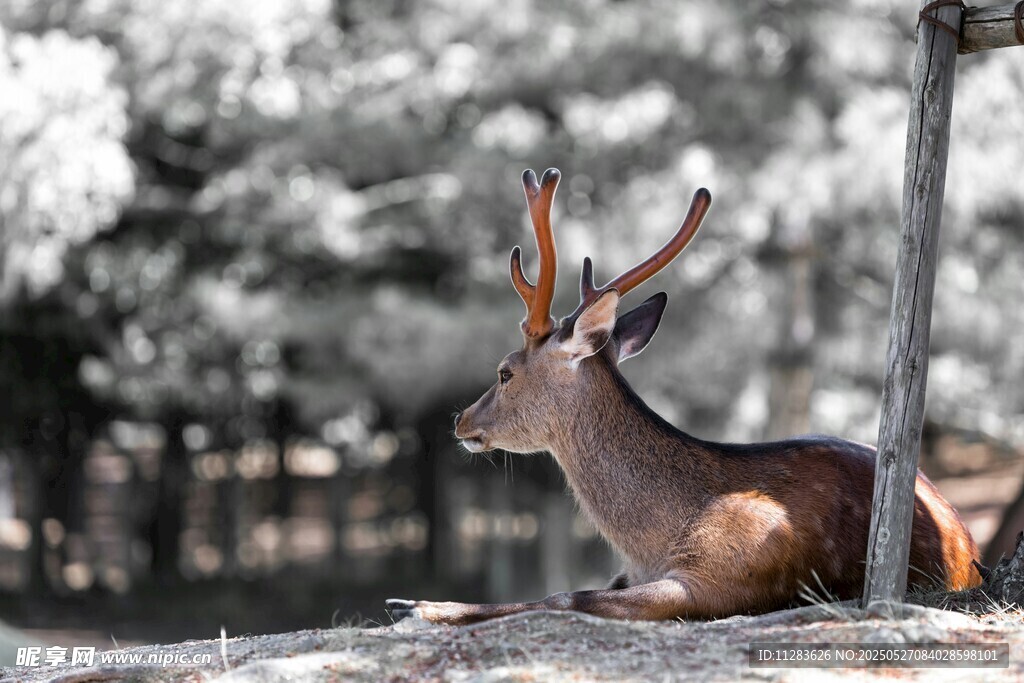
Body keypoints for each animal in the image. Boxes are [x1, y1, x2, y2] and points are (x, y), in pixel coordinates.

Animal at [387, 168, 982, 626]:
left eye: (505, 372)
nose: (461, 420)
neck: (654, 540)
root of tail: (970, 543)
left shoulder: (723, 577)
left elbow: (564, 595)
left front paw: (417, 607)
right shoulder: (629, 571)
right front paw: (413, 602)